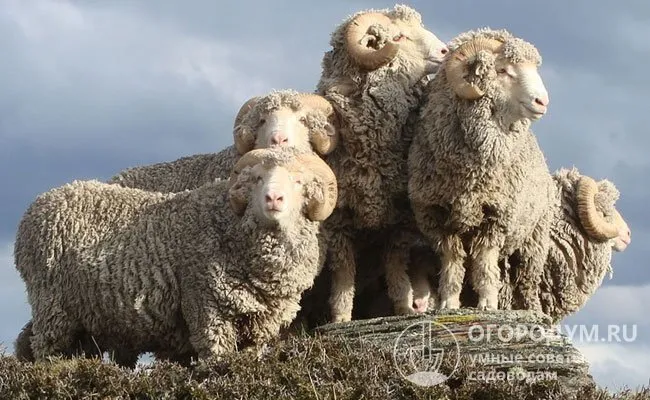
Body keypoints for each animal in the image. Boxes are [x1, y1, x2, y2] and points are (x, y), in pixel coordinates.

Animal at [13, 148, 340, 366]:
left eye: (299, 181)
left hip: (86, 320)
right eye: (257, 179)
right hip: (52, 308)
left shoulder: (259, 327)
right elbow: (216, 360)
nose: (273, 199)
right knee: (45, 350)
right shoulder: (206, 308)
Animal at [316, 3, 448, 322]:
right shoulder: (338, 221)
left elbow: (396, 268)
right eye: (398, 37)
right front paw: (340, 318)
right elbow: (343, 273)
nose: (445, 51)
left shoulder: (399, 219)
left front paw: (403, 308)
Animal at [404, 29, 552, 314]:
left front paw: (487, 304)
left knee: (527, 280)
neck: (470, 176)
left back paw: (531, 310)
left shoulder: (496, 218)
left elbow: (484, 263)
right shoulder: (438, 217)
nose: (542, 101)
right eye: (503, 70)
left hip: (534, 238)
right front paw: (449, 303)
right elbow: (452, 262)